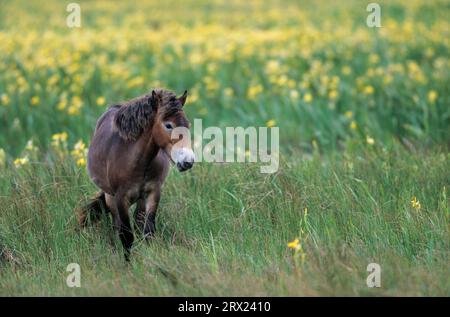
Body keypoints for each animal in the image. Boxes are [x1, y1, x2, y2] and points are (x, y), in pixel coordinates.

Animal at [78, 88, 194, 260]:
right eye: (168, 125)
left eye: (187, 125)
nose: (188, 161)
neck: (136, 161)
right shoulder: (121, 198)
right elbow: (126, 236)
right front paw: (128, 264)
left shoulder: (153, 192)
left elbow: (148, 231)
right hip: (110, 197)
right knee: (117, 226)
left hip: (140, 199)